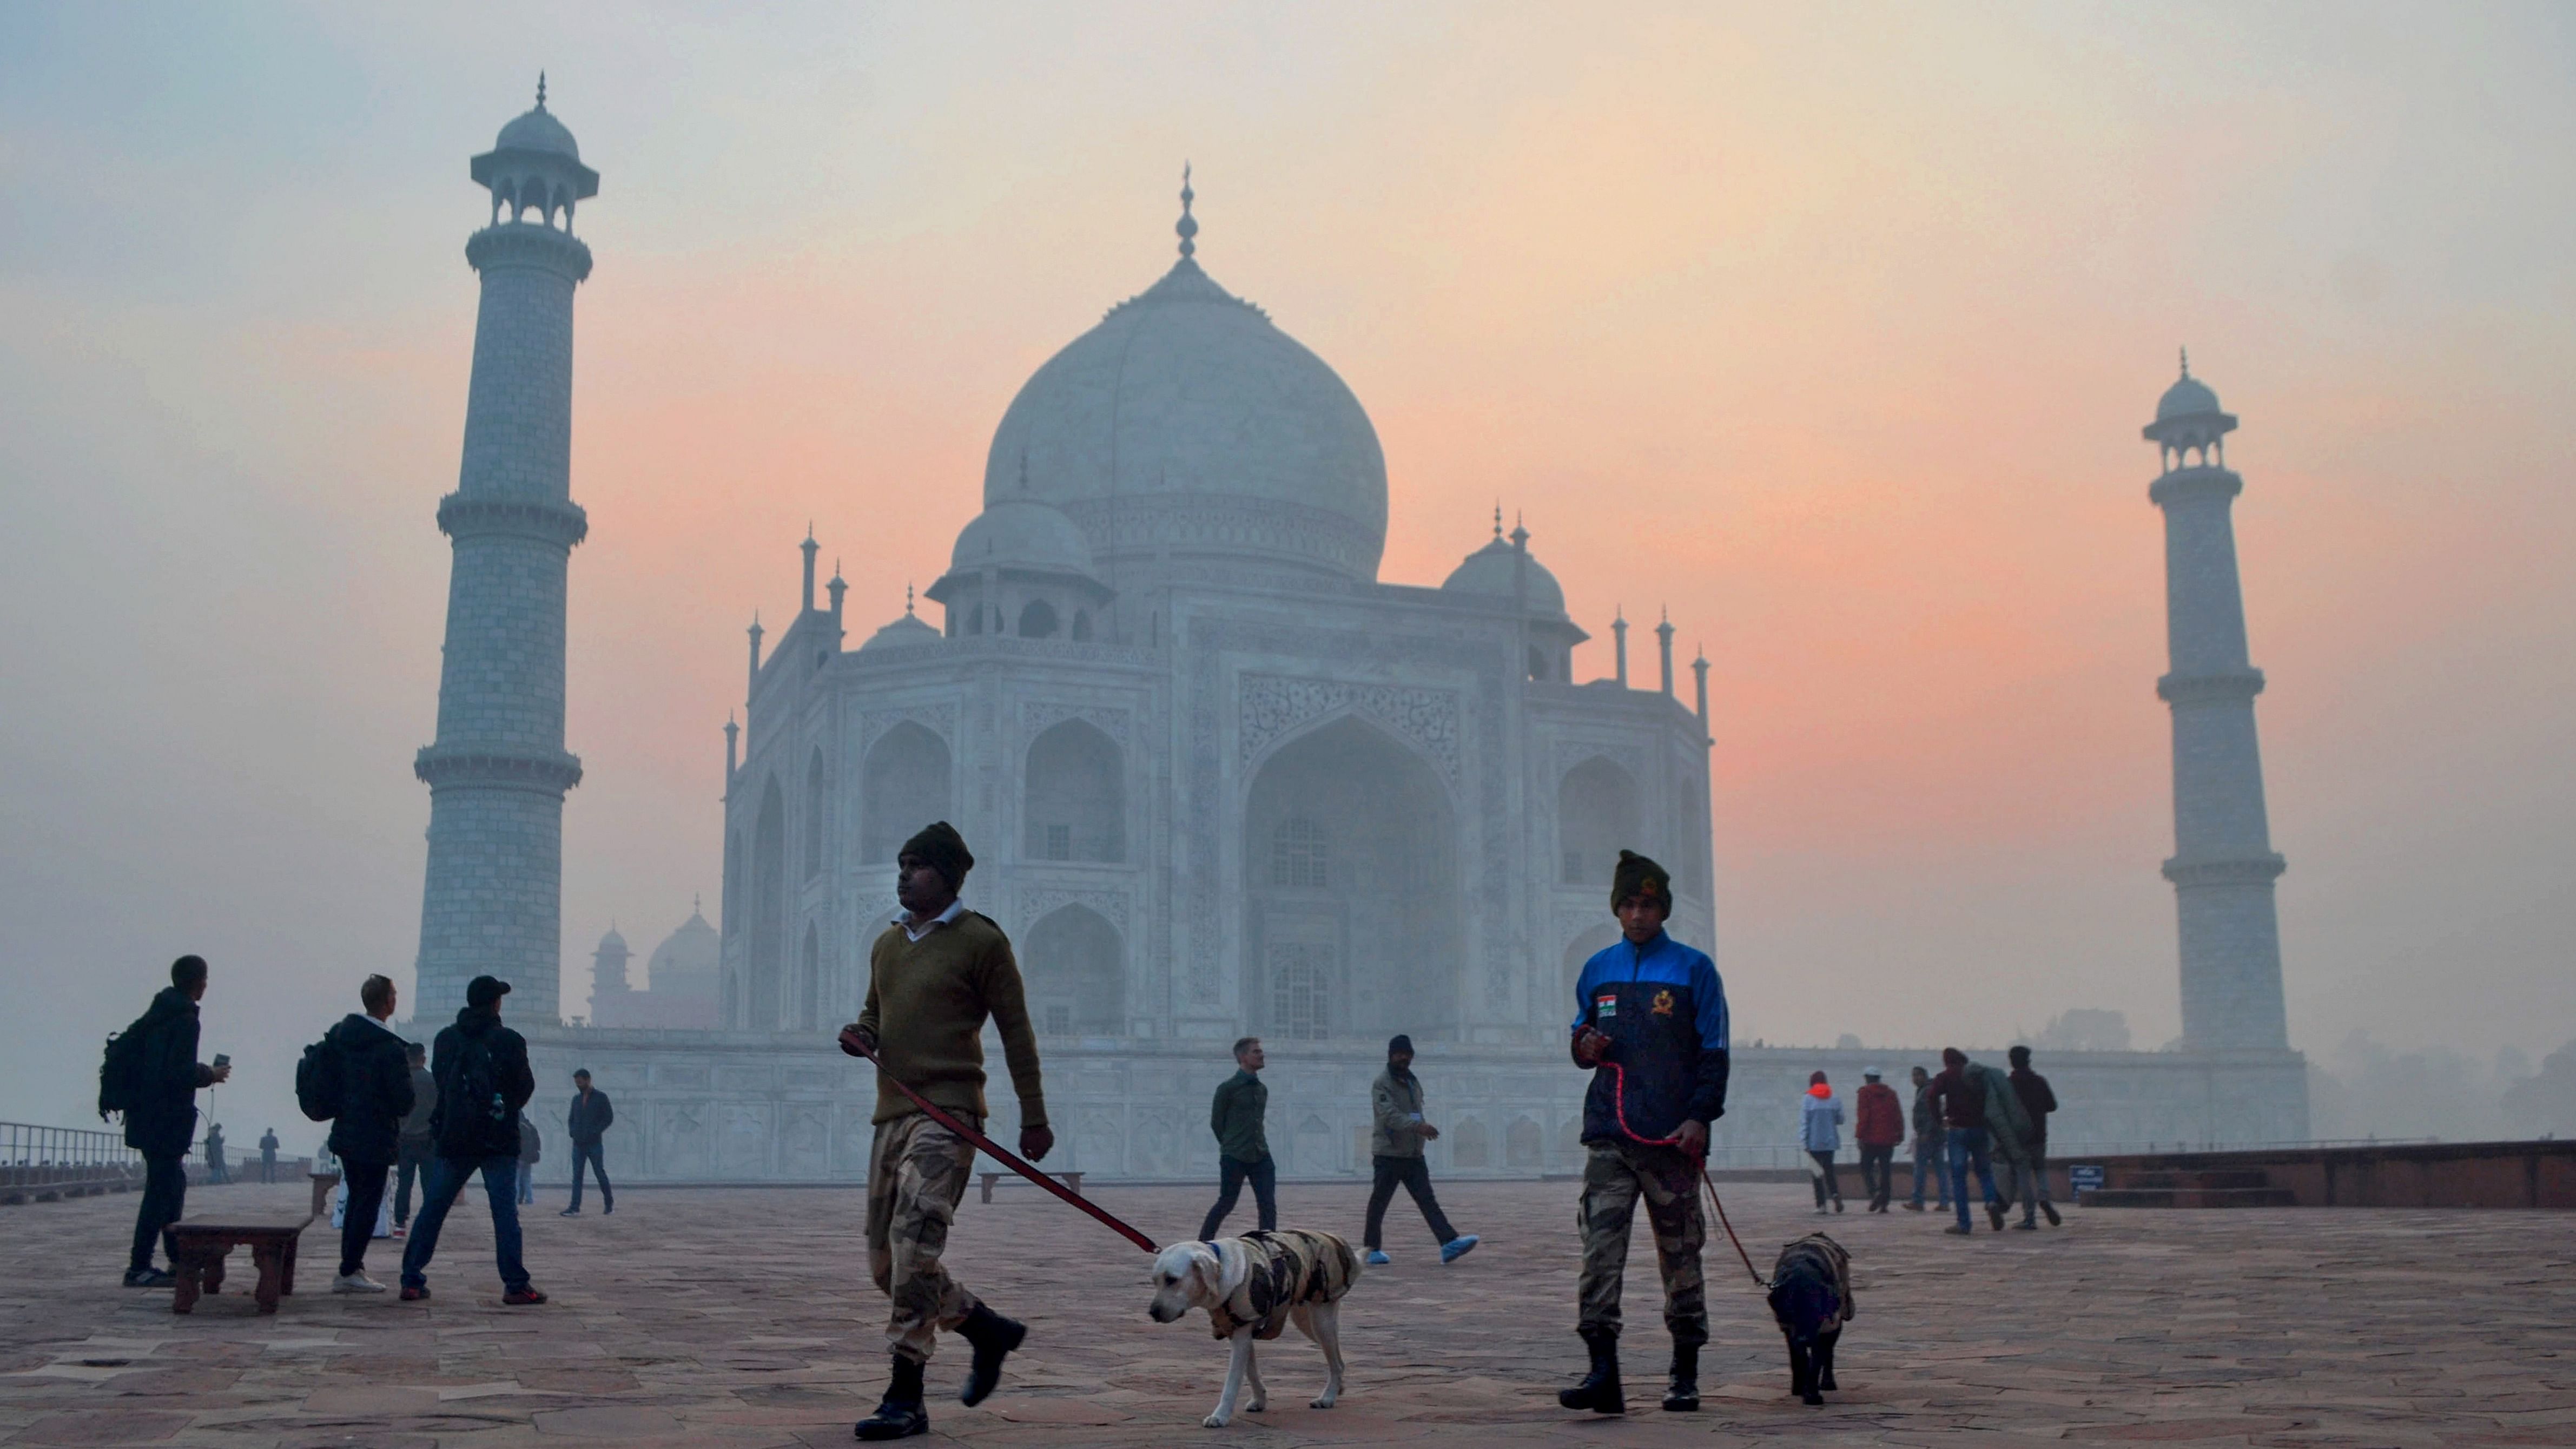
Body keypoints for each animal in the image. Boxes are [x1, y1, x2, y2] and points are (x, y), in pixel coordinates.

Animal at [1154, 1227, 1370, 1423]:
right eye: (1155, 1281)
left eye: (1172, 1280)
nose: (1153, 1312)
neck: (1222, 1270)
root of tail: (1333, 1238)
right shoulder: (1240, 1331)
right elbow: (1251, 1373)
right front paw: (1260, 1400)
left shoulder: (1242, 1336)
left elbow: (1233, 1381)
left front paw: (1220, 1416)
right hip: (1306, 1321)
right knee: (1338, 1360)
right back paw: (1338, 1387)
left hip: (1321, 1321)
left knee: (1336, 1362)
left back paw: (1328, 1397)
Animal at [1772, 1227, 1854, 1402]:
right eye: (1790, 1311)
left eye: (1816, 1312)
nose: (1804, 1340)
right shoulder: (1790, 1330)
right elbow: (1799, 1359)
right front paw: (1800, 1388)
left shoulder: (1826, 1328)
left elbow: (1817, 1360)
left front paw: (1811, 1394)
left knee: (1829, 1353)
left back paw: (1828, 1382)